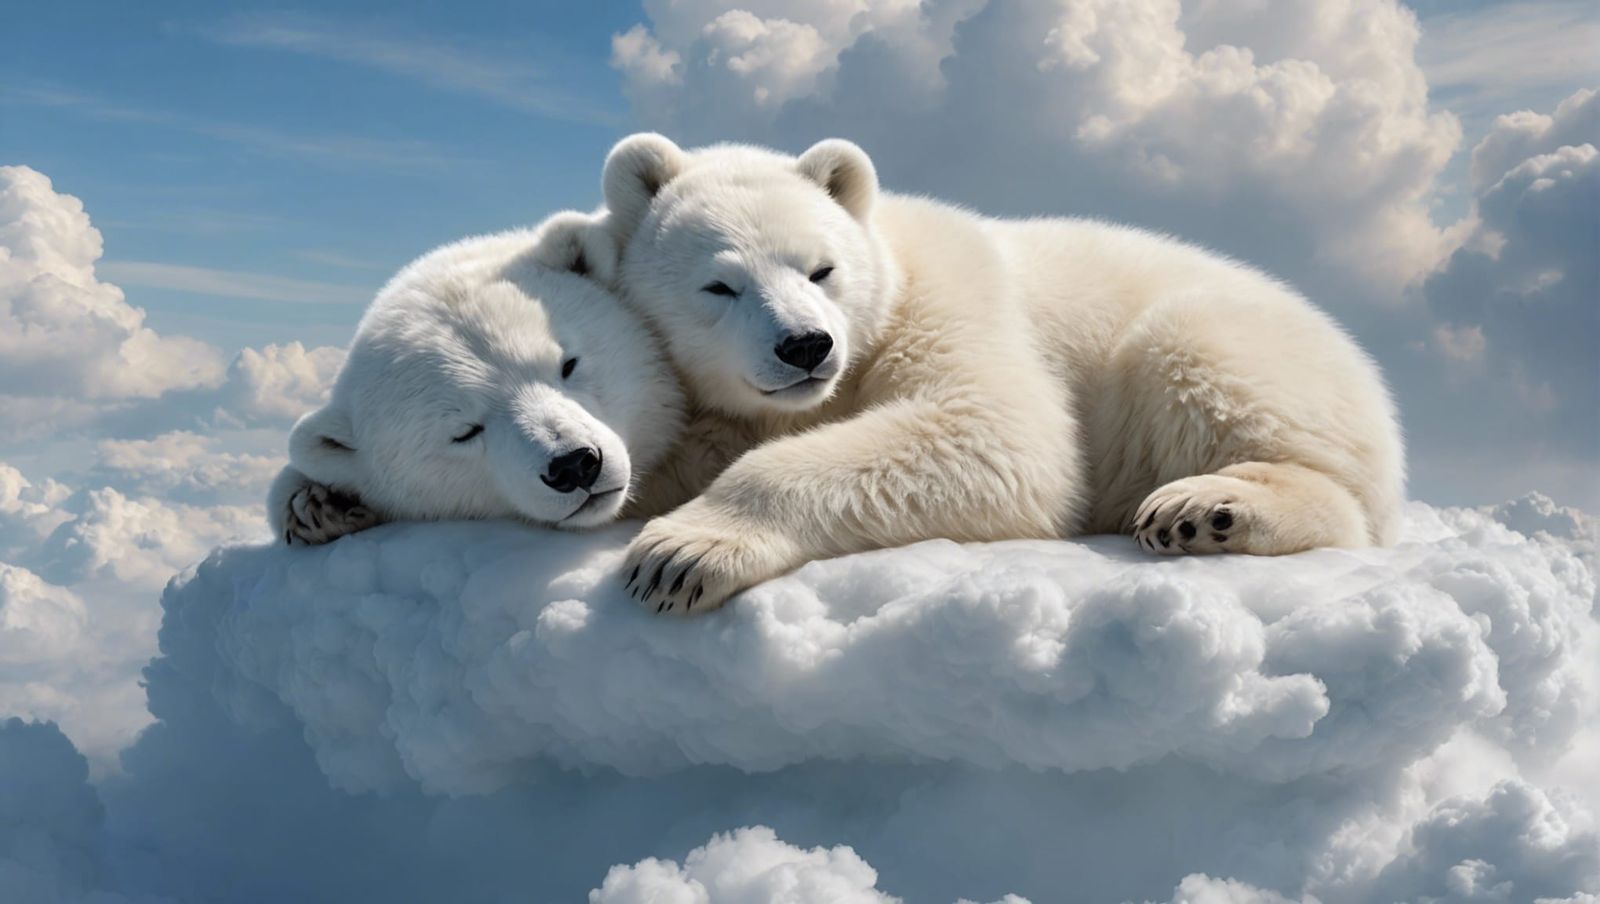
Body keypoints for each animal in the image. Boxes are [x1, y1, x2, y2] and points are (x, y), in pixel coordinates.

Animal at [599, 134, 1406, 615]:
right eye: (720, 285)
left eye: (821, 269)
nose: (807, 346)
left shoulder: (946, 302)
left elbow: (996, 433)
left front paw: (679, 555)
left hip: (1256, 349)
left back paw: (1205, 507)